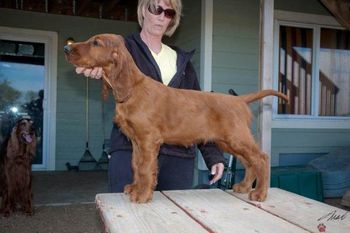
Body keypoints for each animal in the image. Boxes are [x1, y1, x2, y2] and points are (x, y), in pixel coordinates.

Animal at [64, 33, 288, 203]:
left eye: (96, 43)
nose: (66, 48)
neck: (133, 88)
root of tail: (239, 100)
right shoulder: (136, 141)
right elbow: (136, 165)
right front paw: (135, 188)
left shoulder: (148, 139)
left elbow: (145, 168)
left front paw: (142, 195)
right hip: (228, 141)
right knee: (249, 162)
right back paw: (243, 186)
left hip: (236, 137)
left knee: (261, 158)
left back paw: (260, 193)